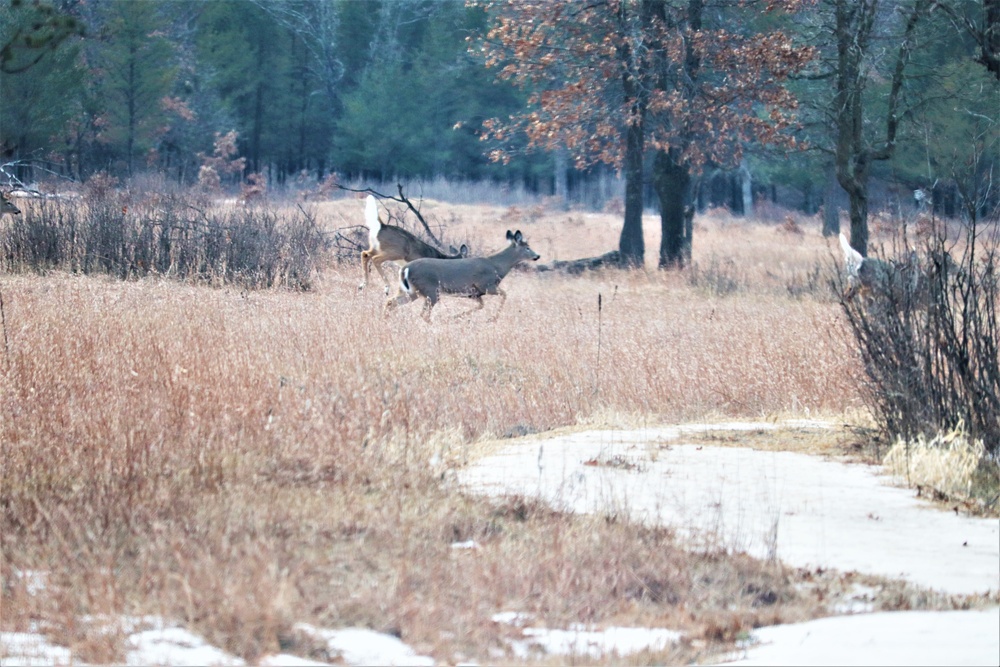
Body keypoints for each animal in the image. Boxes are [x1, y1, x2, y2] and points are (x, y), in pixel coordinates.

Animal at [382, 230, 540, 324]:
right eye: (527, 247)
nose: (537, 256)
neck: (497, 267)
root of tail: (405, 269)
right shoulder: (486, 285)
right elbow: (505, 294)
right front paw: (492, 319)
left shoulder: (474, 294)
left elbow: (481, 305)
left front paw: (454, 317)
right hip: (430, 290)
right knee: (423, 314)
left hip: (411, 291)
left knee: (391, 301)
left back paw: (385, 320)